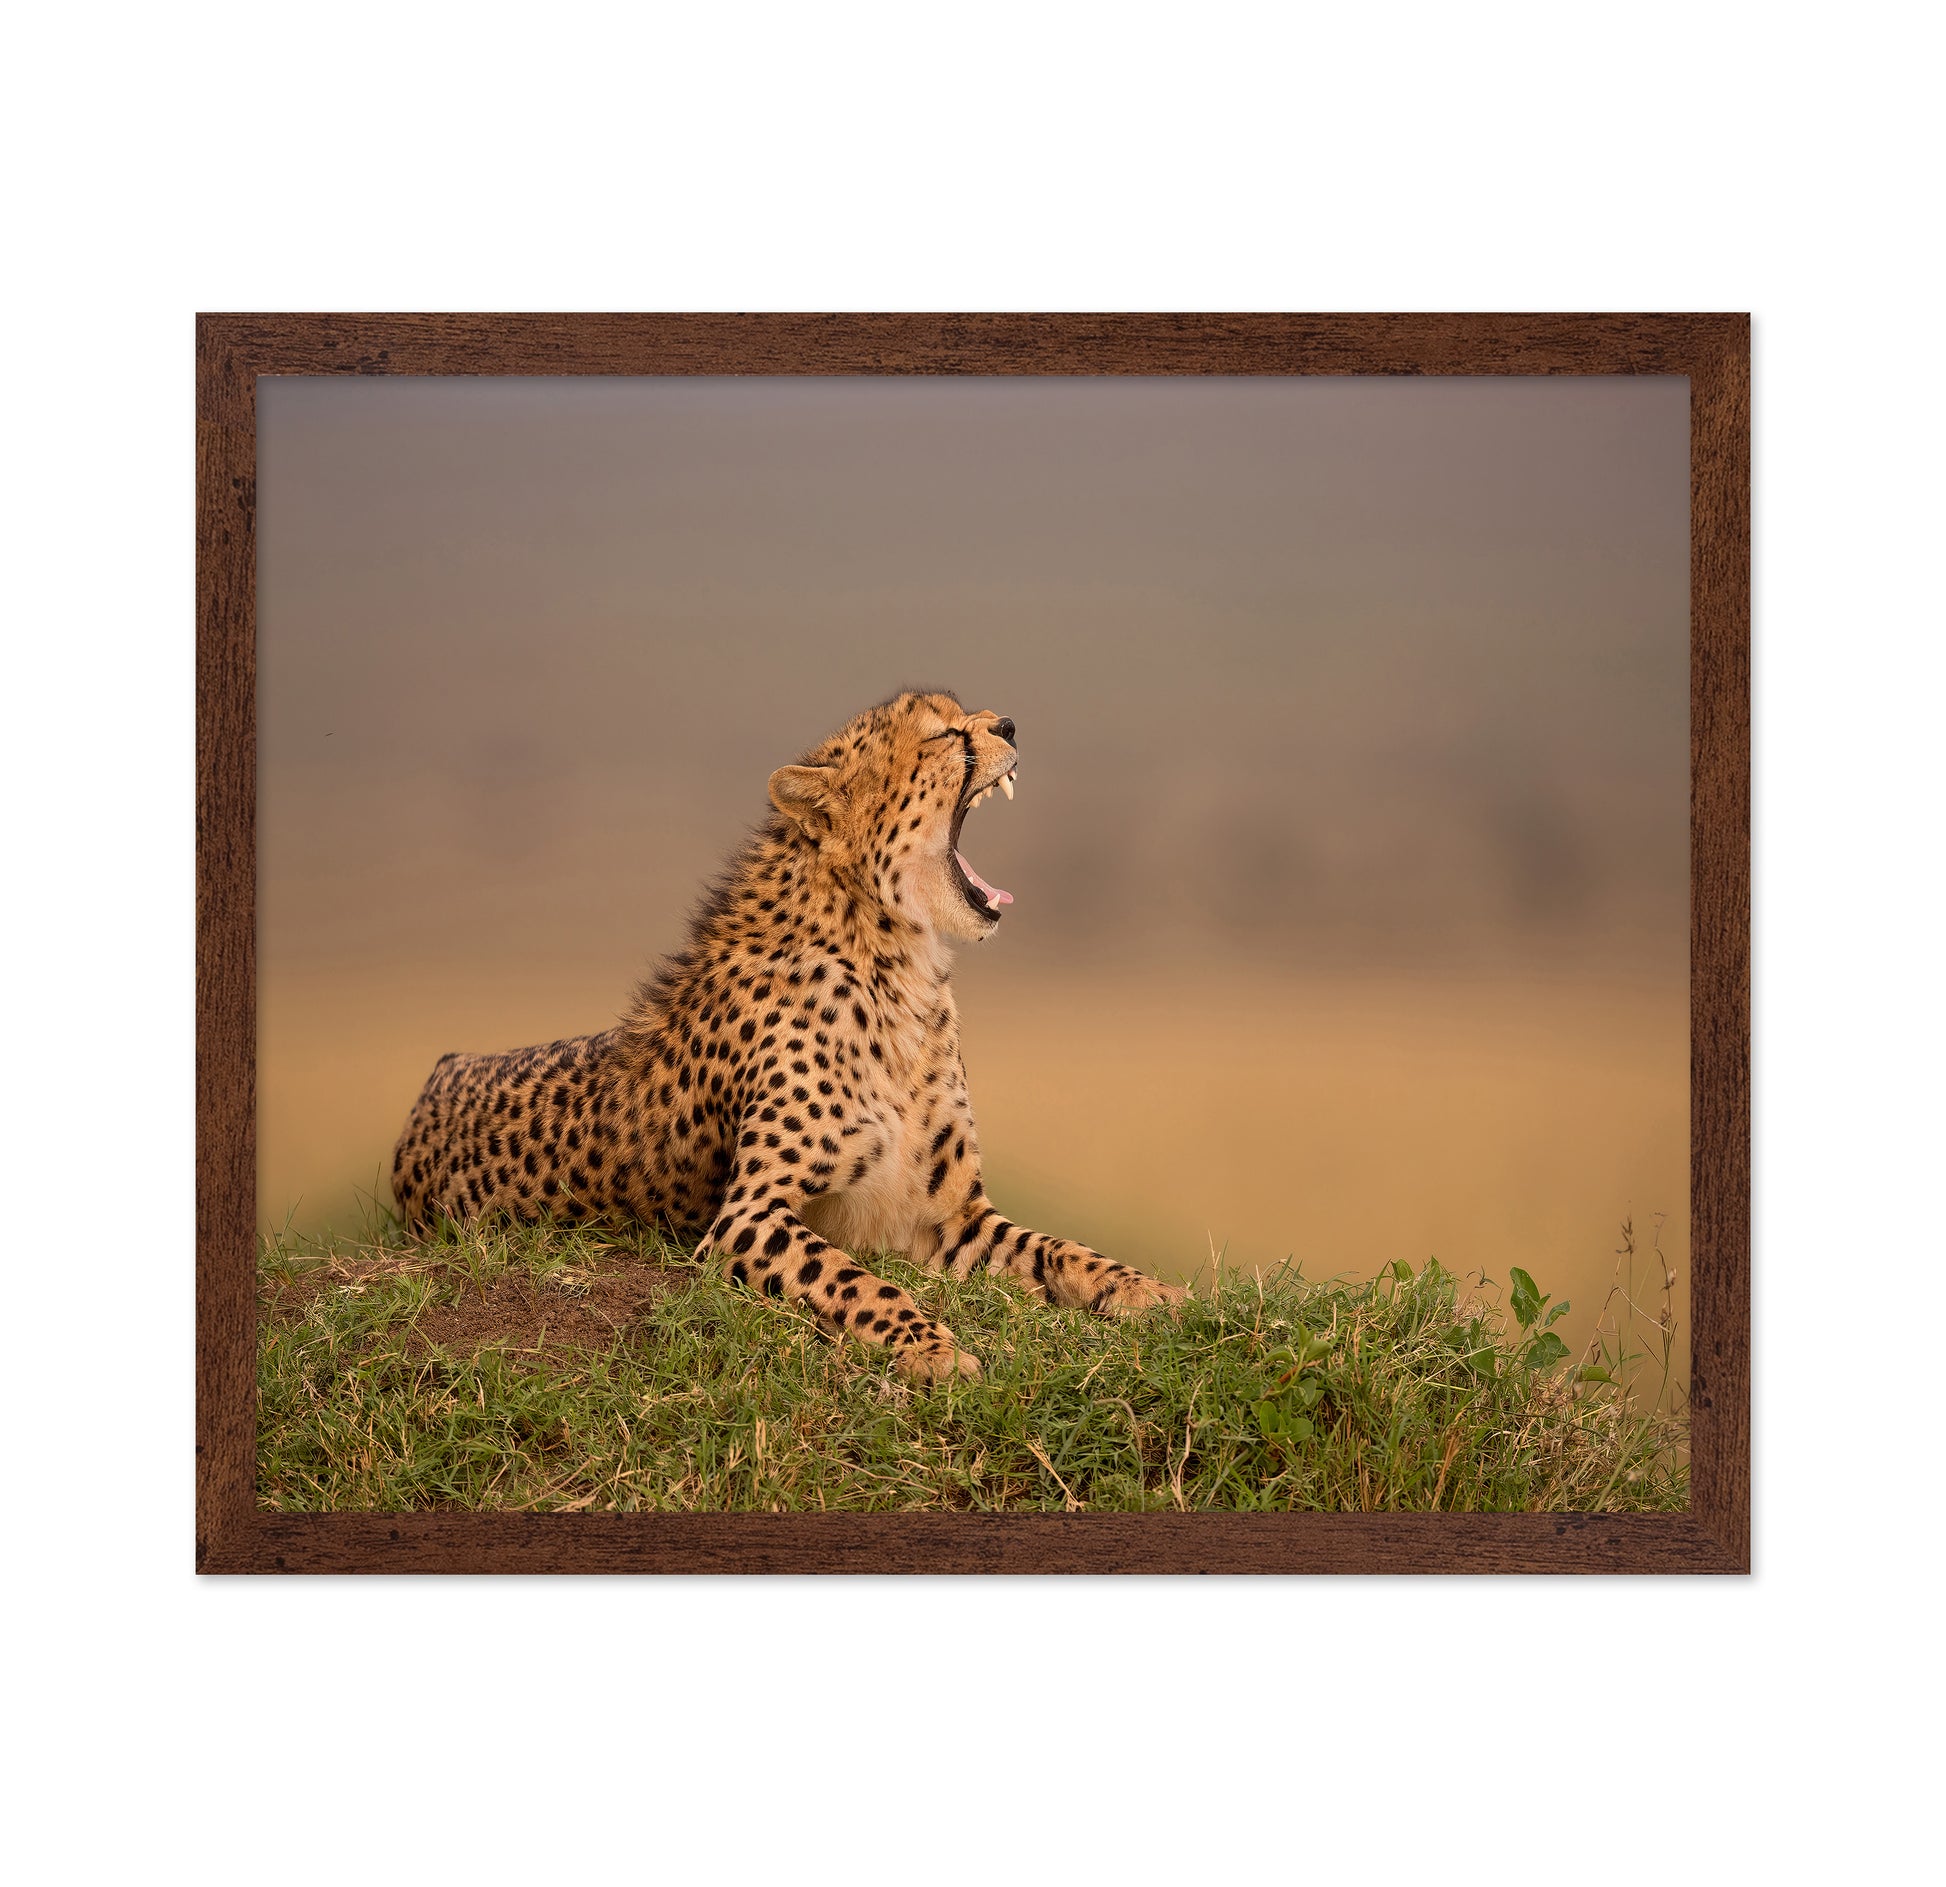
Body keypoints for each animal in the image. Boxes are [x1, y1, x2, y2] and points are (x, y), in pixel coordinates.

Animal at [391, 689, 1187, 1381]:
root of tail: (440, 1071)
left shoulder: (953, 1216)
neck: (897, 964)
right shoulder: (747, 1216)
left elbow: (1060, 1247)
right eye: (941, 734)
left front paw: (1144, 1289)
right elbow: (860, 1280)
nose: (1011, 725)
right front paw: (931, 1347)